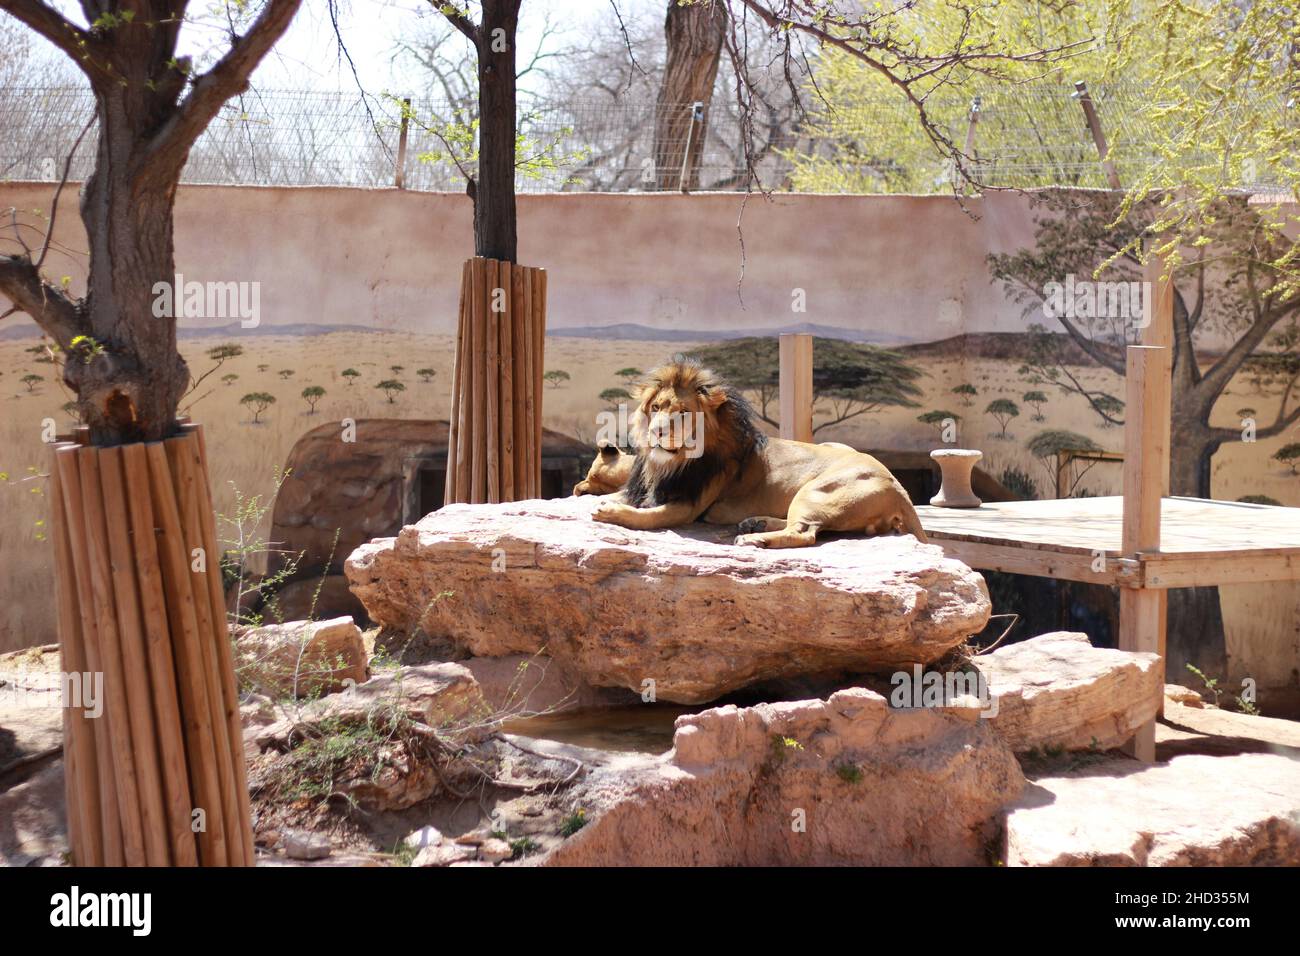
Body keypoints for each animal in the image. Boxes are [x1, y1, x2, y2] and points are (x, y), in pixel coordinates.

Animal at [579, 358, 925, 548]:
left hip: (817, 491)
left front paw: (610, 513)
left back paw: (753, 539)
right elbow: (617, 495)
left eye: (683, 412)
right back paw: (754, 524)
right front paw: (601, 500)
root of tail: (899, 487)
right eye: (656, 408)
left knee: (805, 534)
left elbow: (647, 516)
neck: (668, 462)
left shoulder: (688, 506)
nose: (658, 431)